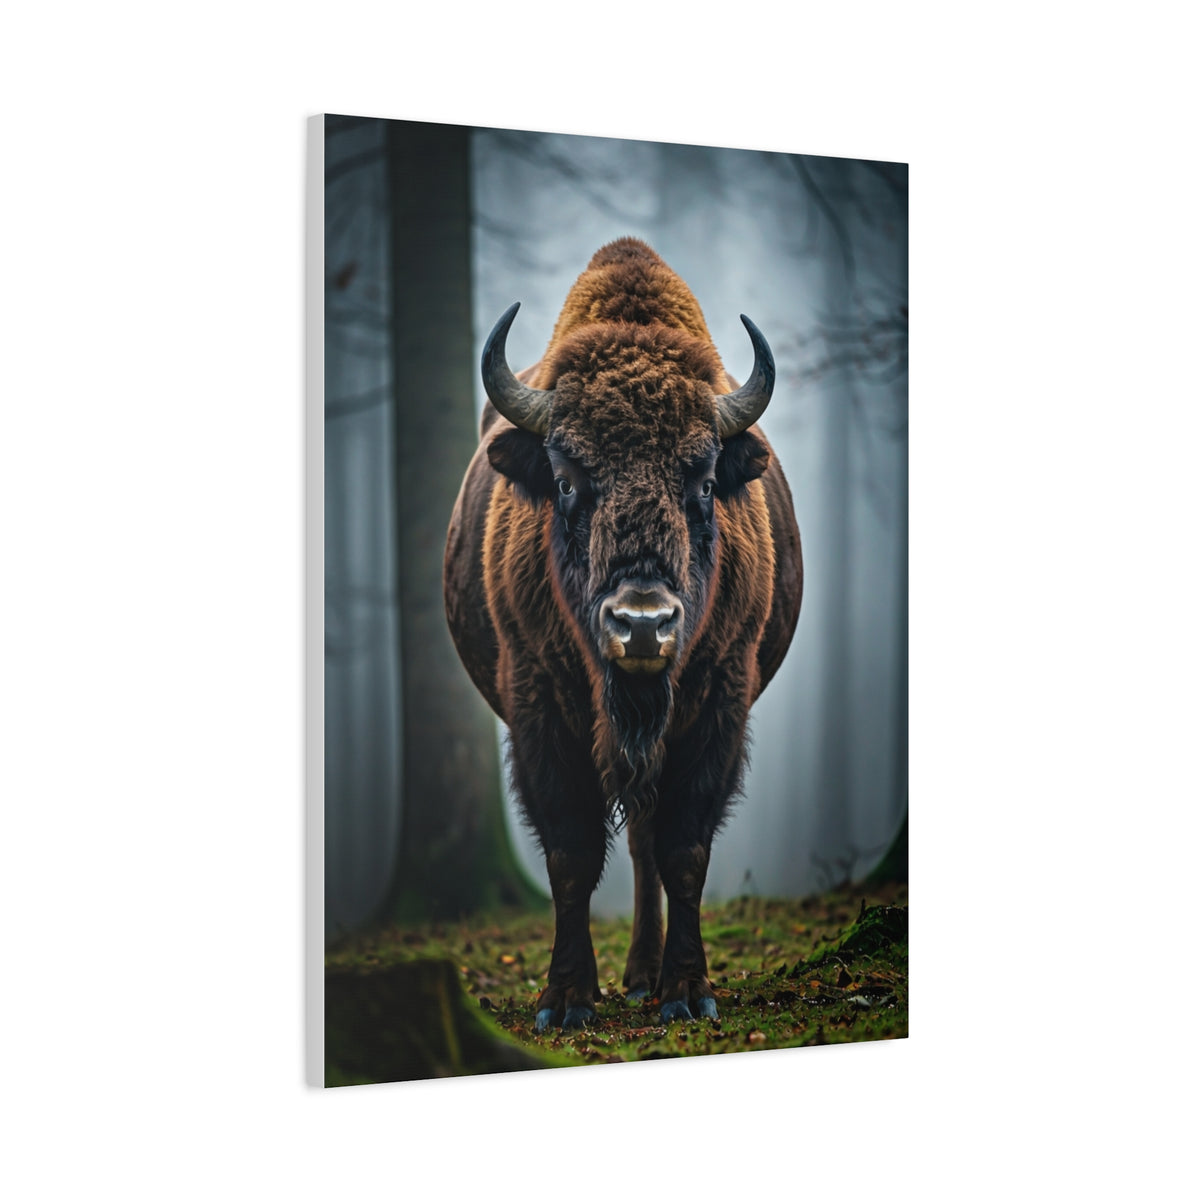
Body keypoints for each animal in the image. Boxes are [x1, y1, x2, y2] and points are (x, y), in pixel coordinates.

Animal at [444, 238, 802, 1028]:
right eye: (566, 478)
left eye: (705, 481)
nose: (642, 625)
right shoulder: (539, 705)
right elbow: (571, 853)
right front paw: (565, 1000)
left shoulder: (718, 702)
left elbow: (685, 850)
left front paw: (689, 993)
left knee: (645, 843)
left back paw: (645, 977)